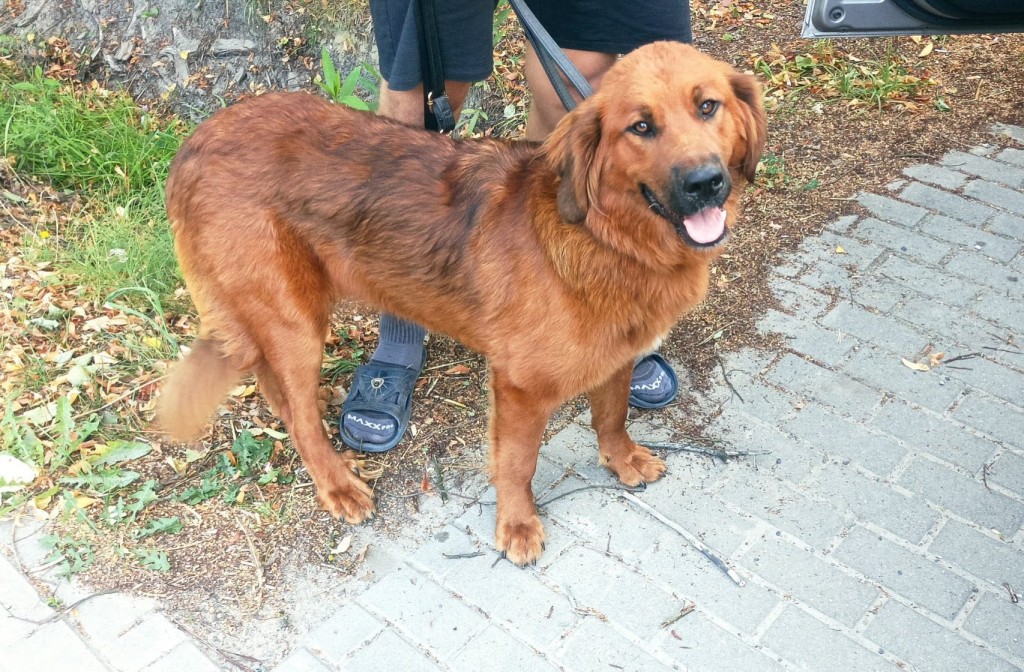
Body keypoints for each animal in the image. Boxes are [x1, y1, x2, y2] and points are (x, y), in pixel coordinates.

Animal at [159, 42, 765, 565]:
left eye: (707, 106)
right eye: (641, 127)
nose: (705, 183)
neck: (606, 236)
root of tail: (194, 143)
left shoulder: (618, 352)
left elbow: (612, 414)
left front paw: (622, 459)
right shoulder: (519, 387)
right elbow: (518, 463)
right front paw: (517, 525)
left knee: (275, 385)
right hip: (295, 322)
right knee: (300, 418)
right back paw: (336, 484)